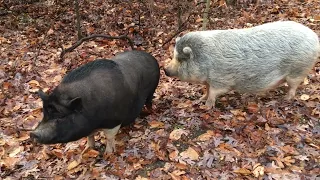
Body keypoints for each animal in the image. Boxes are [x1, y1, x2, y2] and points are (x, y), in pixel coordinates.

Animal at [30, 50, 160, 153]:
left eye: (61, 117)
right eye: (44, 113)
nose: (33, 133)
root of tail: (151, 57)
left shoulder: (114, 121)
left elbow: (109, 137)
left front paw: (108, 154)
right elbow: (90, 137)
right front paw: (88, 149)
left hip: (152, 89)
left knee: (149, 102)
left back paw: (151, 112)